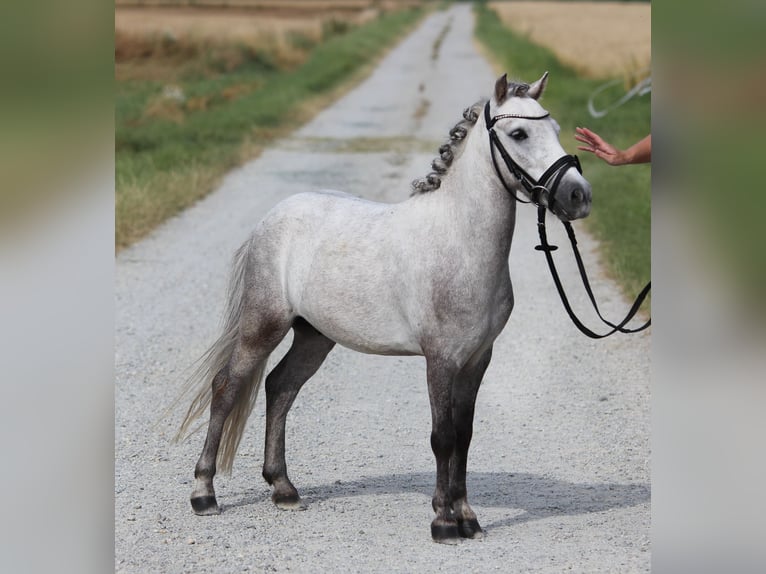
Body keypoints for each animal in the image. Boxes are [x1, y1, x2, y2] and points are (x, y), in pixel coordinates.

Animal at [178, 72, 592, 544]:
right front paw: (443, 521)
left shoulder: (476, 359)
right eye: (519, 133)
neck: (459, 243)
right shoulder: (441, 359)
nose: (578, 195)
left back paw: (283, 489)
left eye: (555, 129)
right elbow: (443, 436)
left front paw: (467, 517)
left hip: (314, 336)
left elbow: (465, 435)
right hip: (262, 325)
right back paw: (204, 493)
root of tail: (272, 217)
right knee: (227, 387)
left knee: (281, 387)